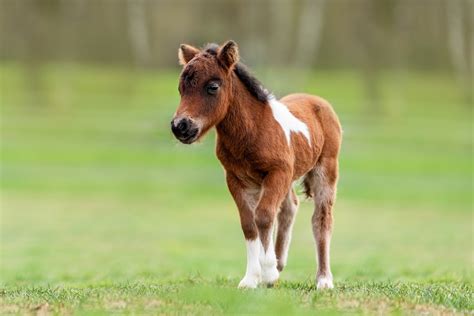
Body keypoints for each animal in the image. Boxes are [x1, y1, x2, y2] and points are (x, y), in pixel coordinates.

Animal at [170, 40, 340, 290]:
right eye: (181, 88)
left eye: (212, 87)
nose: (180, 126)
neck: (253, 130)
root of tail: (318, 101)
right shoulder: (236, 178)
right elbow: (249, 224)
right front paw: (251, 278)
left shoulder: (277, 172)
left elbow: (264, 216)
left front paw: (268, 273)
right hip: (288, 177)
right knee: (290, 207)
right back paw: (280, 262)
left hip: (325, 170)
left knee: (321, 219)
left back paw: (324, 280)